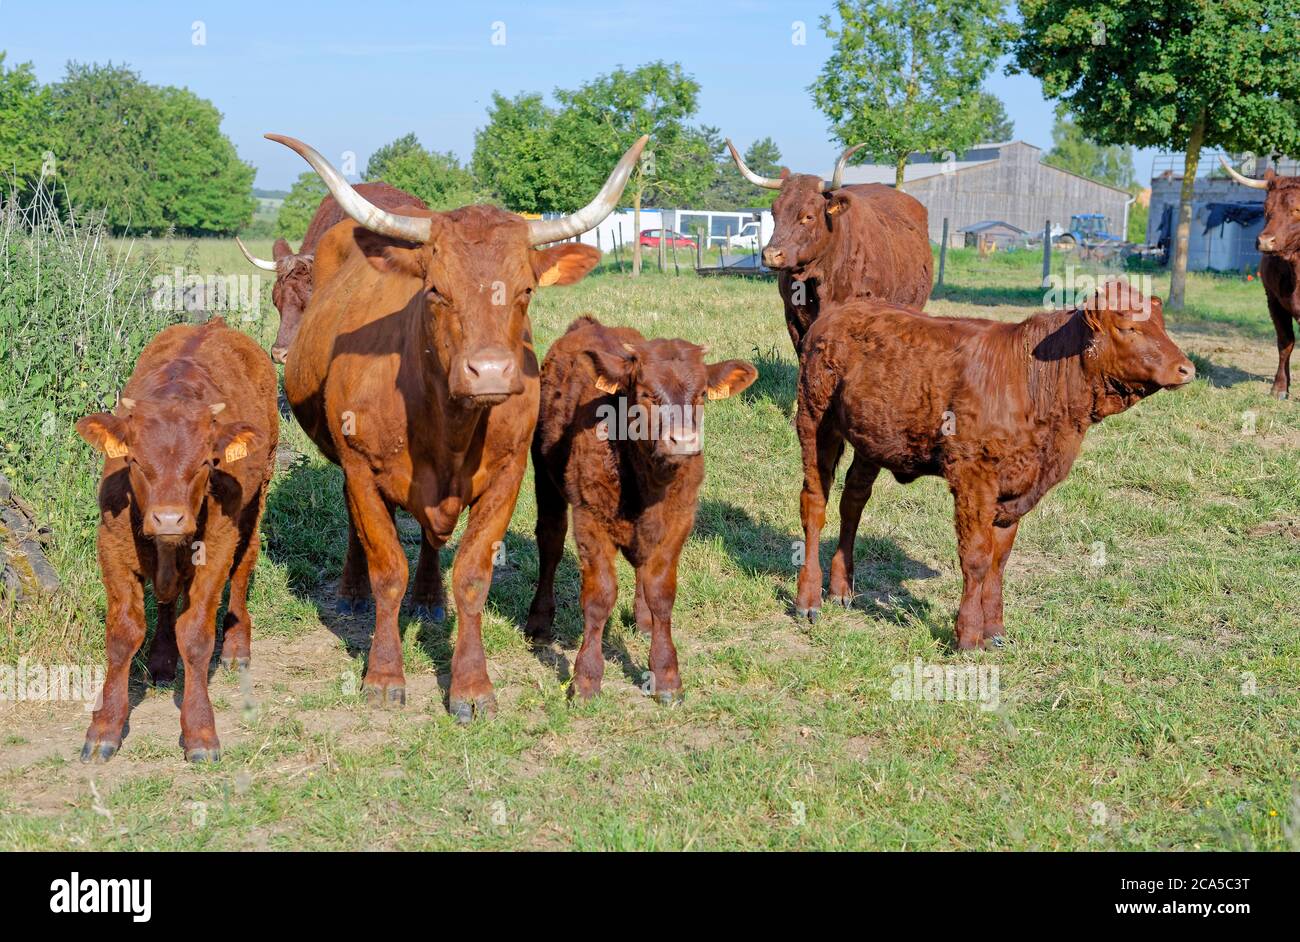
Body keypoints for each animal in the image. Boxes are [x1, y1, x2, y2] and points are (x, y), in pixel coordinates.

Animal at [76, 319, 276, 758]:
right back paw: (163, 660)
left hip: (258, 497)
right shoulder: (112, 546)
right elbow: (123, 634)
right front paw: (104, 727)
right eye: (134, 460)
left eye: (205, 462)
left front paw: (199, 729)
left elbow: (197, 634)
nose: (169, 518)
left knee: (244, 564)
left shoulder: (215, 548)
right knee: (167, 599)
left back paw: (236, 647)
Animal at [274, 132, 644, 722]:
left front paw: (471, 686)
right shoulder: (362, 469)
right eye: (436, 291)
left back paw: (429, 599)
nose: (489, 371)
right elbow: (387, 569)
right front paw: (383, 675)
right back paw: (352, 591)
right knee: (359, 531)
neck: (445, 424)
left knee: (430, 540)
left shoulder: (506, 477)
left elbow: (471, 576)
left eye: (526, 291)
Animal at [525, 319, 759, 701]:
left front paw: (666, 674)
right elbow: (599, 597)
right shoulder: (590, 521)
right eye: (648, 393)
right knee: (550, 543)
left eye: (702, 395)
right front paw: (586, 677)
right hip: (545, 478)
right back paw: (540, 622)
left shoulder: (679, 522)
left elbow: (661, 593)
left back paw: (643, 620)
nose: (684, 440)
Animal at [795, 279, 1201, 647]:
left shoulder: (1018, 489)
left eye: (1162, 325)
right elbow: (976, 557)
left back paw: (841, 588)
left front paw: (995, 632)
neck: (1034, 382)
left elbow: (998, 561)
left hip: (872, 440)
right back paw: (808, 598)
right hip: (815, 420)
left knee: (853, 502)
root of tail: (840, 310)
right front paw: (967, 635)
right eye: (1128, 327)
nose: (1187, 369)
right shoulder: (974, 475)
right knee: (815, 503)